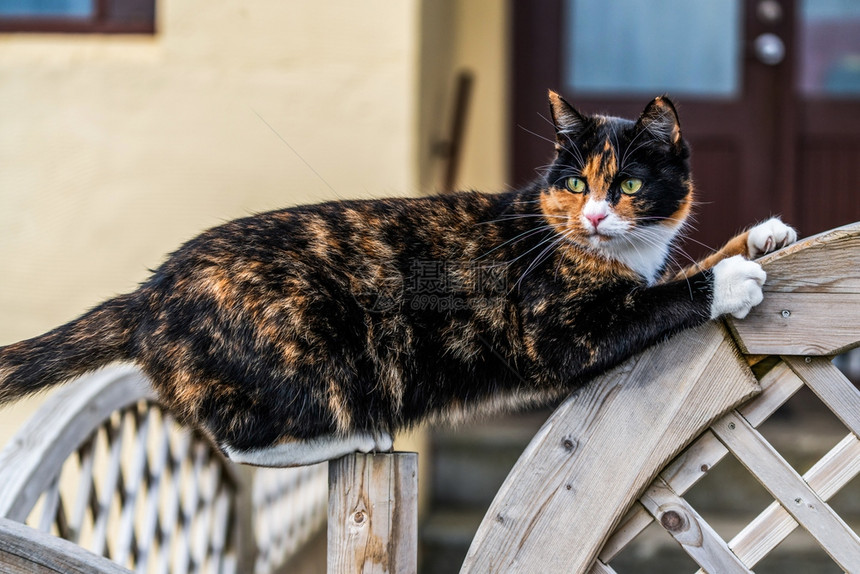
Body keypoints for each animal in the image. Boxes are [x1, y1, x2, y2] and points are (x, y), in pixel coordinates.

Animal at [0, 93, 800, 468]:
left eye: (629, 182)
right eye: (575, 181)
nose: (598, 215)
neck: (609, 254)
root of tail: (149, 292)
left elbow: (678, 267)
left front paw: (763, 236)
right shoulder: (560, 334)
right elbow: (664, 296)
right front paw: (731, 281)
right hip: (309, 346)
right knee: (241, 438)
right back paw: (360, 439)